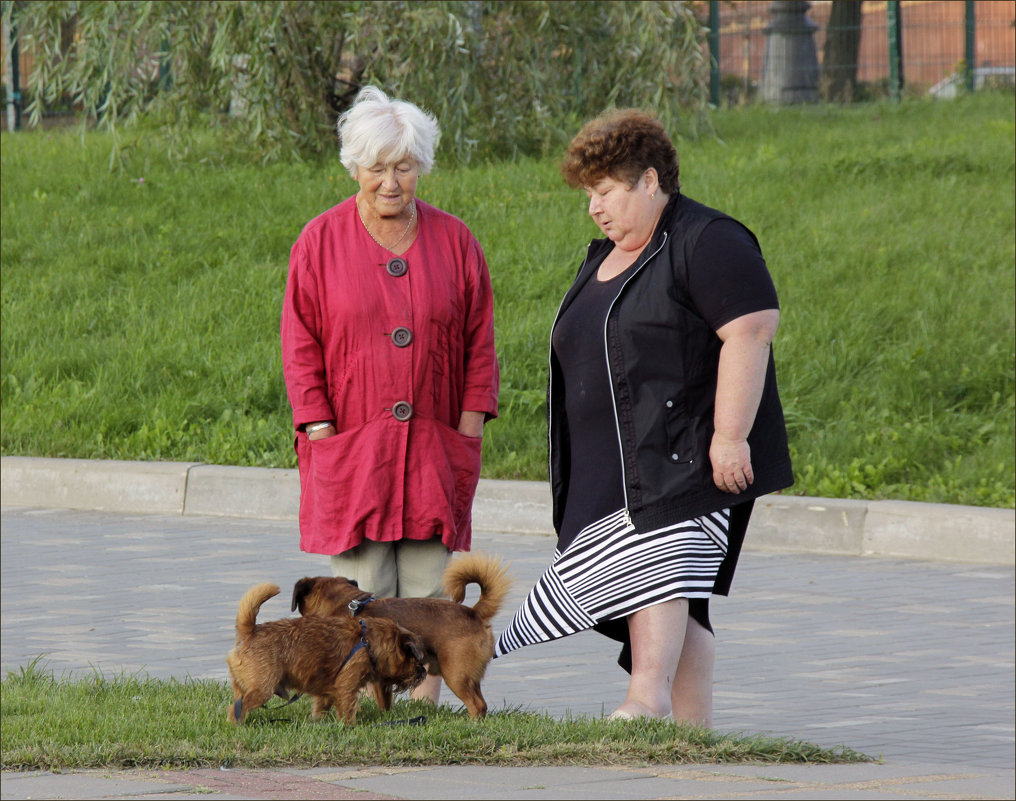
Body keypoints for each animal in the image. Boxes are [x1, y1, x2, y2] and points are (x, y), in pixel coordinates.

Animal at [224, 581, 426, 727]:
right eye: (415, 659)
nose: (423, 671)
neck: (367, 642)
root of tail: (251, 630)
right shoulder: (347, 687)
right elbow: (348, 708)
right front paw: (350, 727)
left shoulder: (326, 693)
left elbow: (321, 707)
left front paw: (317, 722)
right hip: (263, 689)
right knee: (237, 709)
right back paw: (237, 726)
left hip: (242, 687)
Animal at [290, 548, 512, 719]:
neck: (348, 607)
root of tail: (473, 612)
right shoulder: (383, 680)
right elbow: (385, 705)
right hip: (468, 677)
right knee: (481, 702)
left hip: (456, 675)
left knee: (477, 705)